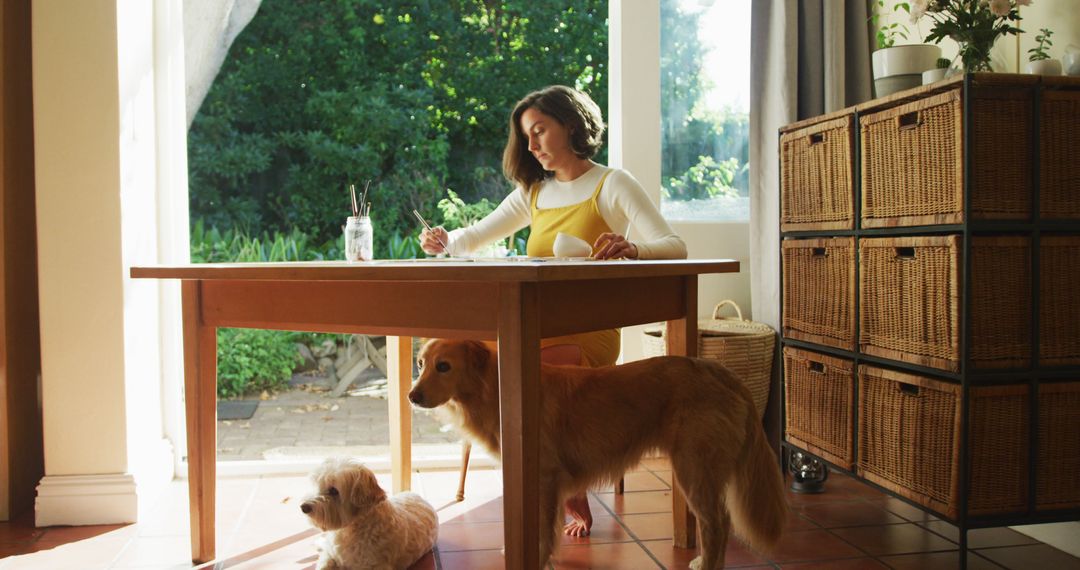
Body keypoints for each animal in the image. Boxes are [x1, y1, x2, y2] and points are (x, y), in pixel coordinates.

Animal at [300, 457, 438, 570]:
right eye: (318, 485)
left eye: (334, 491)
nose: (303, 507)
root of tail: (419, 496)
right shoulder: (330, 554)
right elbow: (325, 561)